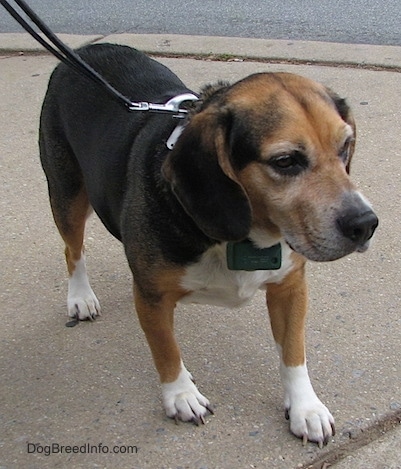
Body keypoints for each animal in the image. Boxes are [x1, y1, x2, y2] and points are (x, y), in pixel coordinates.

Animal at [39, 43, 376, 446]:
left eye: (345, 147)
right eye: (285, 161)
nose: (366, 224)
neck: (241, 237)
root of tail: (86, 49)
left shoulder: (290, 287)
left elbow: (293, 353)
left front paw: (305, 408)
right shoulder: (152, 297)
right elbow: (166, 350)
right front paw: (181, 395)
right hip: (67, 195)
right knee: (72, 249)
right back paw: (80, 296)